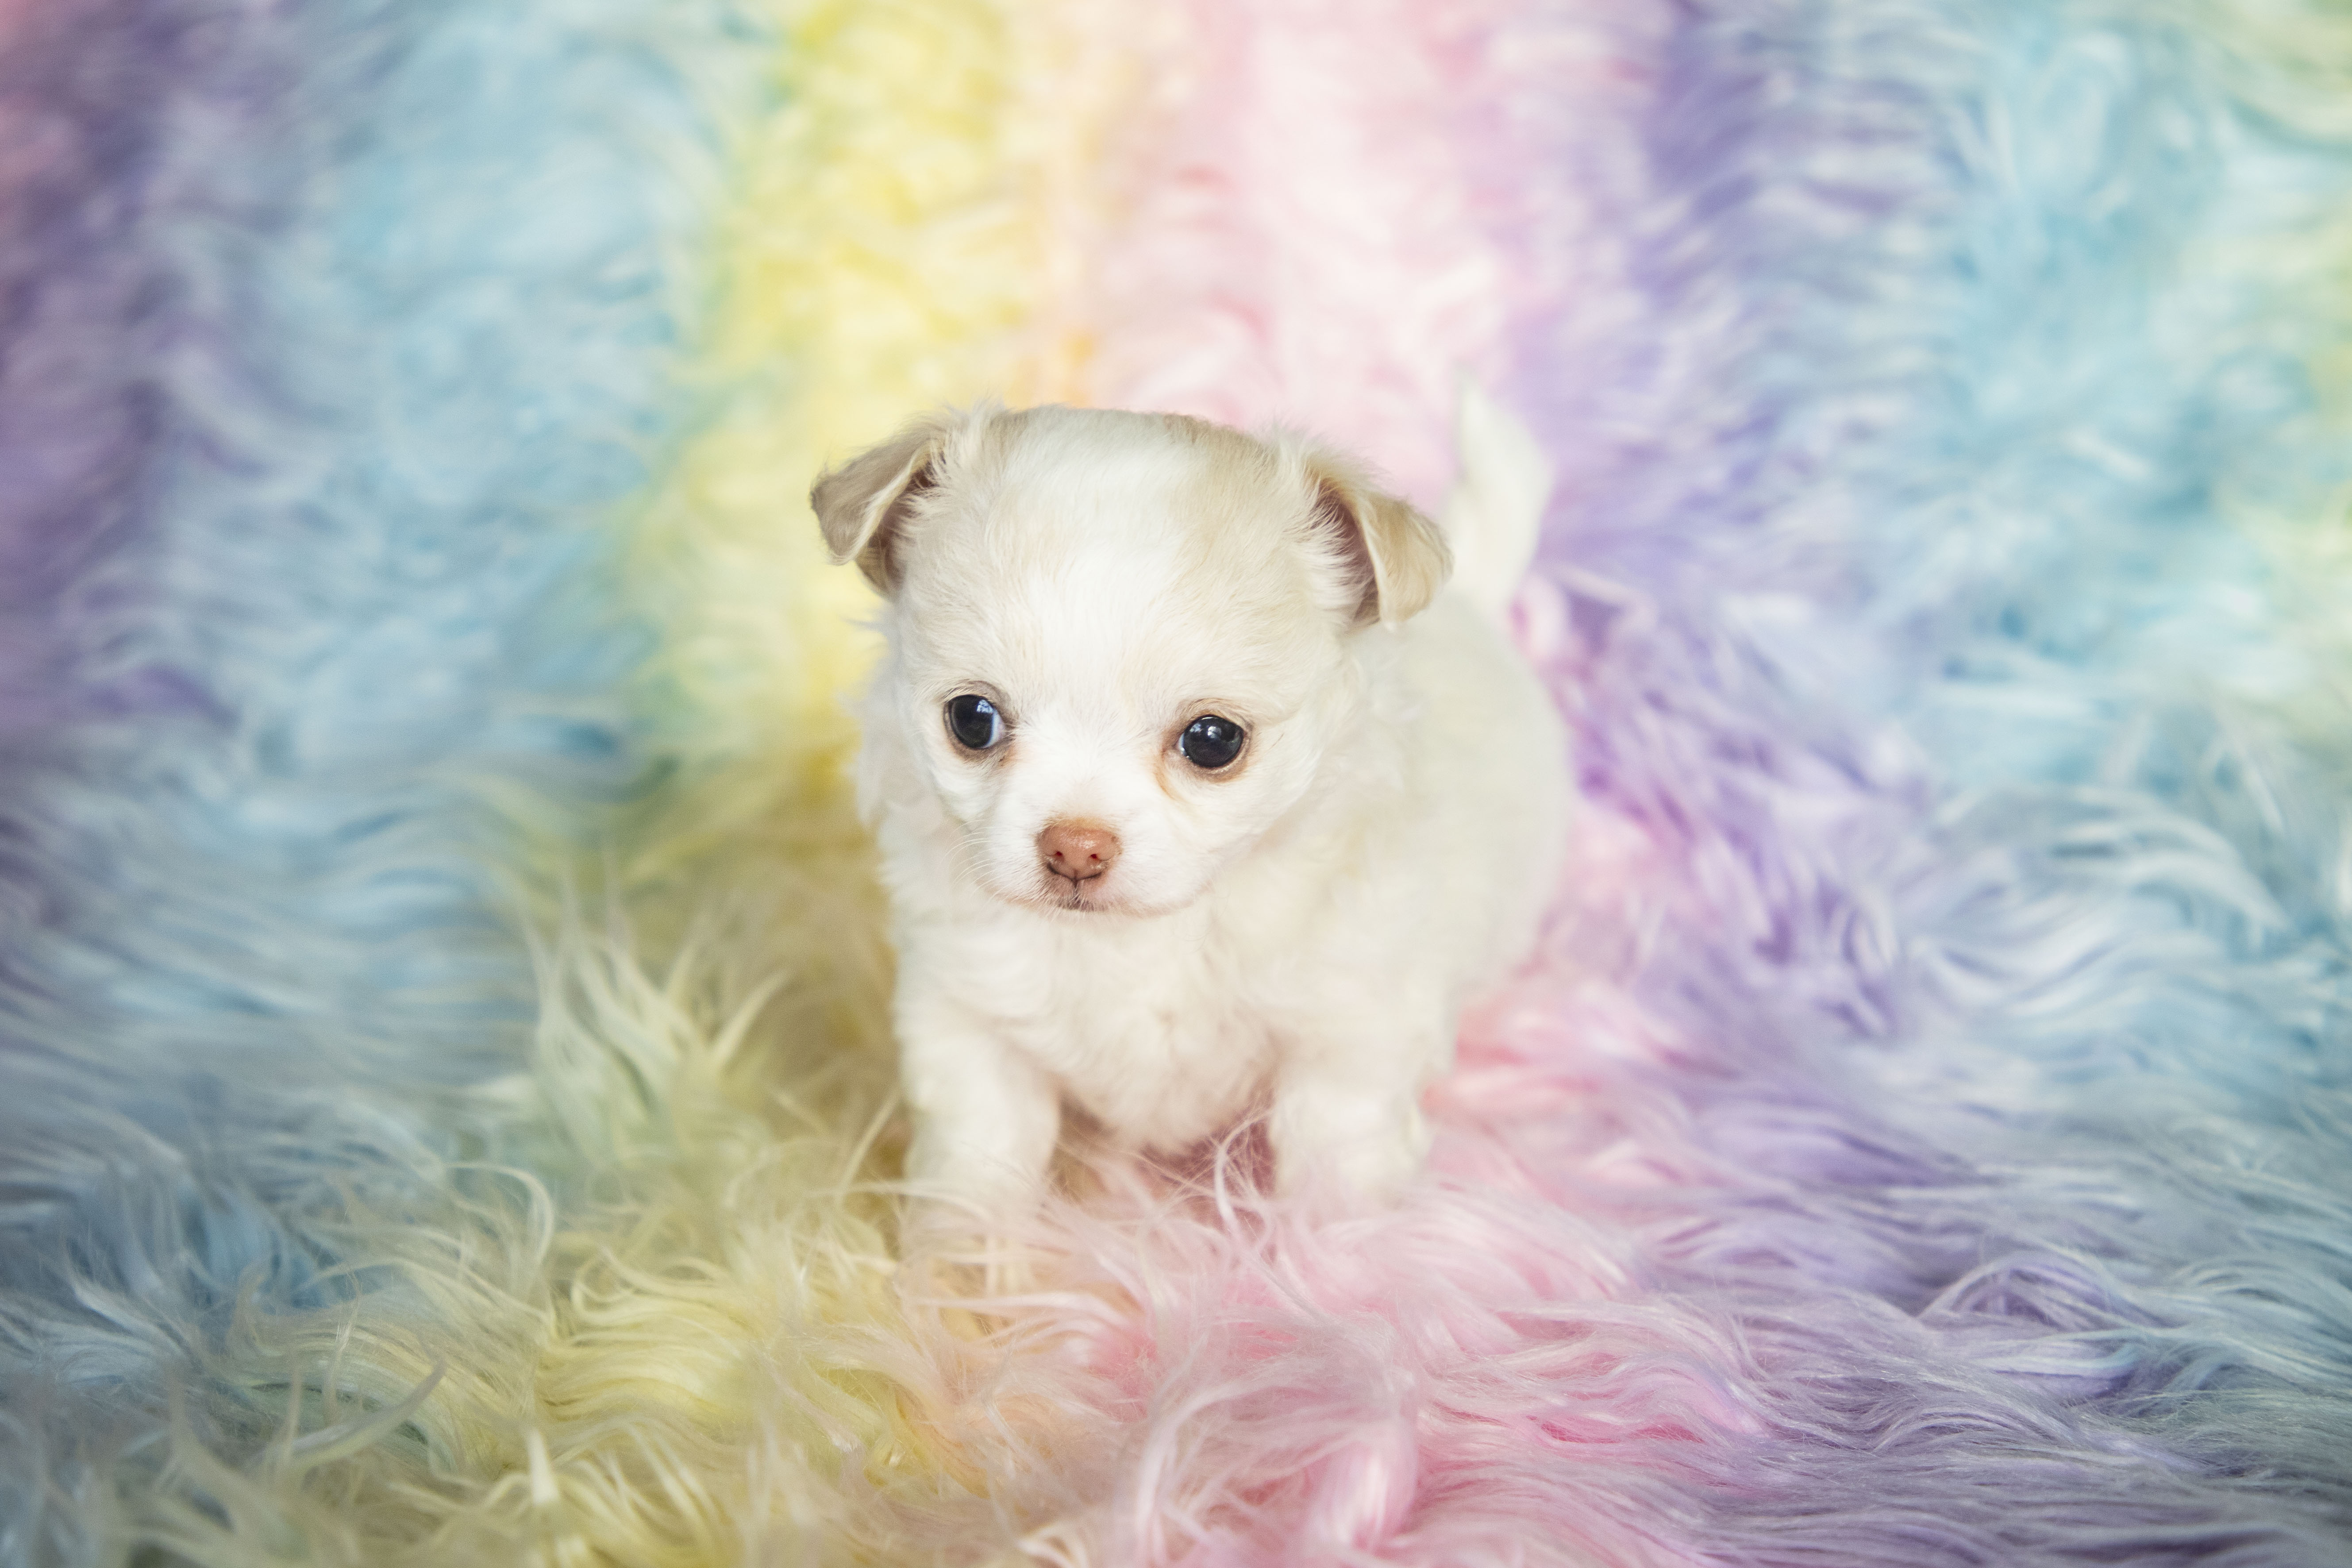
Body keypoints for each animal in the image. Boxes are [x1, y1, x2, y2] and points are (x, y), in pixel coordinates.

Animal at [811, 390, 1568, 1225]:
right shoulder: (965, 1018)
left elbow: (1335, 1153)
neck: (1139, 937)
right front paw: (960, 1255)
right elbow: (977, 1161)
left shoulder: (1349, 1031)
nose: (1075, 846)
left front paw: (1335, 1249)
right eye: (972, 720)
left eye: (1213, 740)